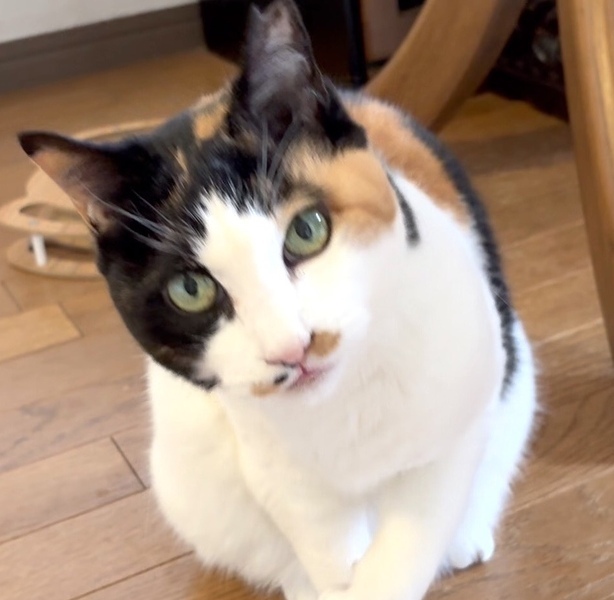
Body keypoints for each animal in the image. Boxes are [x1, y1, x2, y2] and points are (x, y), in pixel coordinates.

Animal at [17, 1, 537, 599]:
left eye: (307, 230)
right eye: (190, 290)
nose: (293, 348)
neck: (343, 403)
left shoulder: (447, 436)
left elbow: (408, 546)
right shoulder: (286, 478)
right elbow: (330, 554)